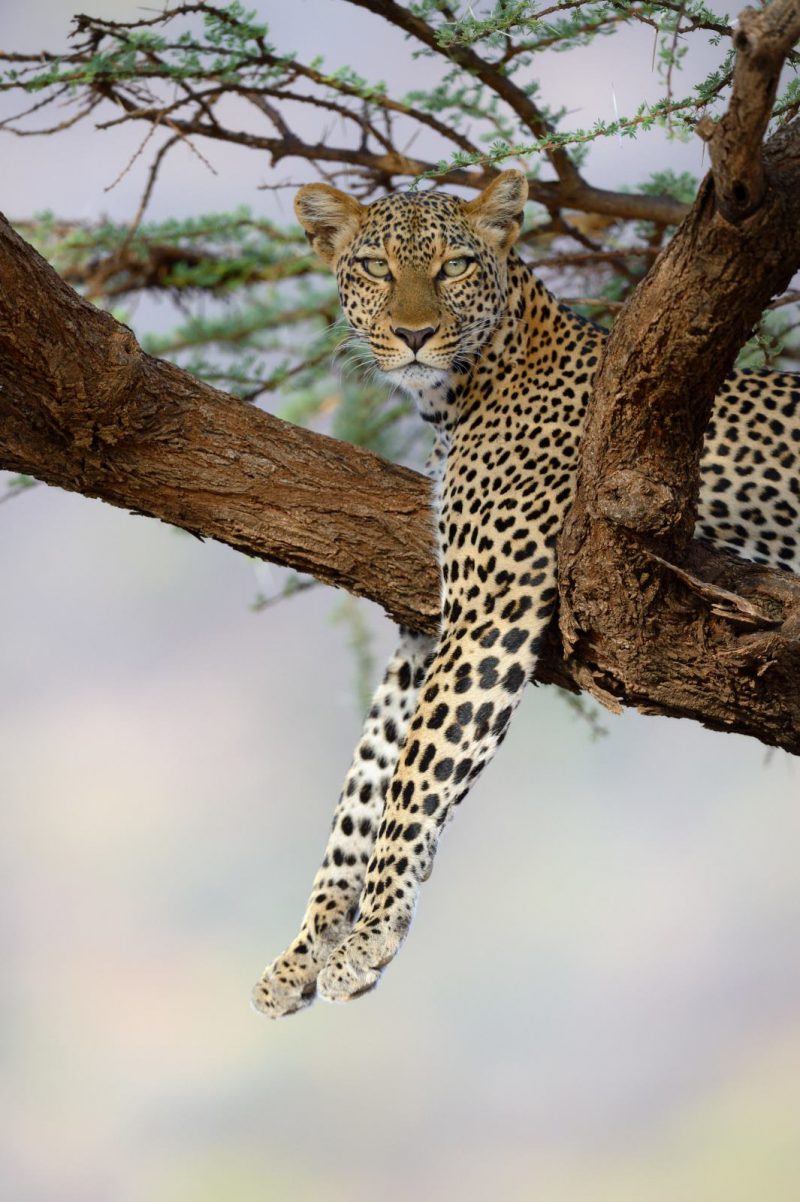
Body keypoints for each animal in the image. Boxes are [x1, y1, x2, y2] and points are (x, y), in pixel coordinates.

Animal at [252, 169, 797, 1014]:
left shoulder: (490, 610)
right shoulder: (432, 624)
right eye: (375, 267)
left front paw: (368, 937)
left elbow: (413, 774)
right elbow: (364, 780)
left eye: (454, 267)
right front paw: (305, 950)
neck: (458, 396)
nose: (414, 335)